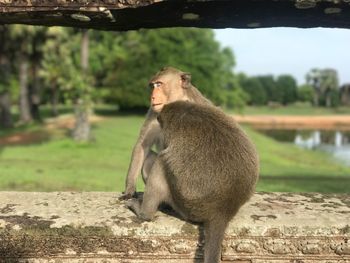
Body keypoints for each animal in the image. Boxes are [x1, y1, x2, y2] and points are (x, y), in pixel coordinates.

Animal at [121, 66, 212, 200]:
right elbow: (142, 145)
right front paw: (130, 189)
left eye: (159, 84)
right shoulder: (154, 112)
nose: (152, 97)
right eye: (152, 86)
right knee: (150, 157)